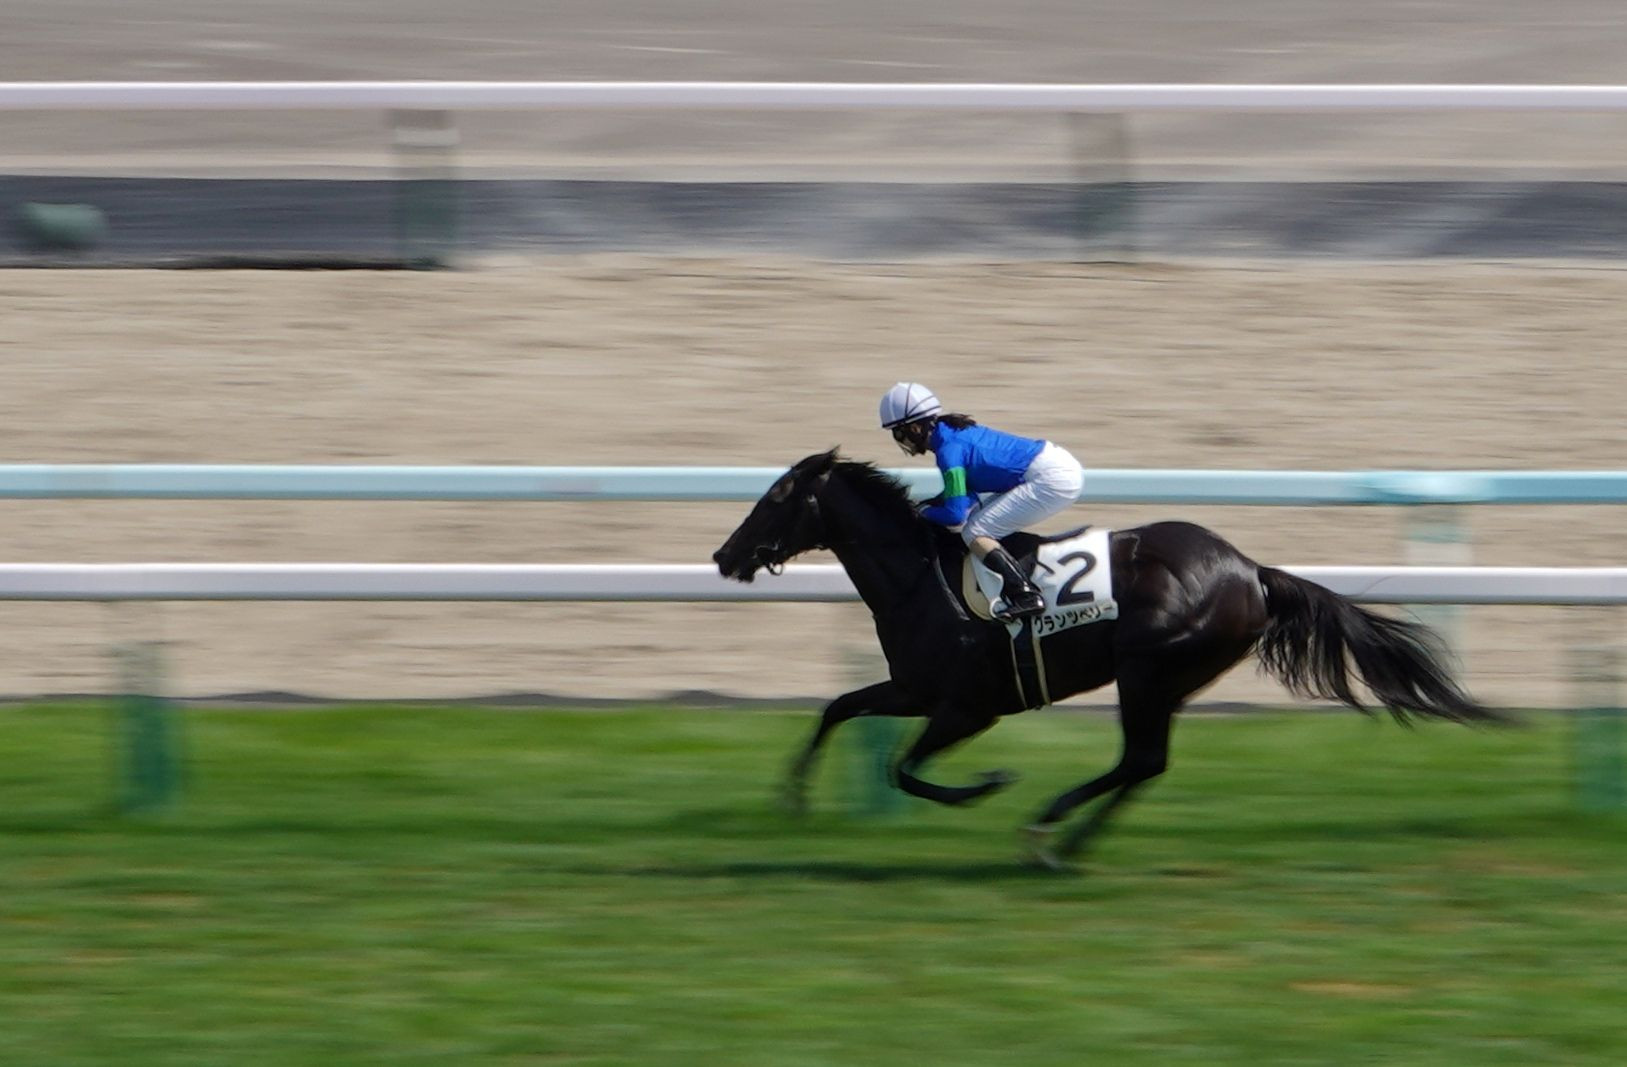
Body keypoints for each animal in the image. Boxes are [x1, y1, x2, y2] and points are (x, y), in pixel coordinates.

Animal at [711, 449, 1501, 867]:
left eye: (775, 498)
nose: (723, 556)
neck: (920, 579)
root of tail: (1248, 569)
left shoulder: (969, 706)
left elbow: (902, 768)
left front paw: (987, 784)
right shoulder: (916, 689)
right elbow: (838, 708)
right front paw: (792, 795)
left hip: (1148, 670)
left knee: (1140, 758)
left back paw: (1048, 831)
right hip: (1166, 678)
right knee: (1144, 763)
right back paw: (1066, 837)